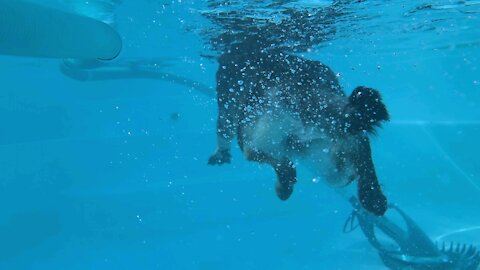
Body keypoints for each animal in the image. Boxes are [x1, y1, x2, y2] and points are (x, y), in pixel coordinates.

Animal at [208, 46, 388, 215]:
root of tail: (300, 85)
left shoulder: (232, 118)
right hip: (327, 156)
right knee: (357, 149)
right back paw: (374, 198)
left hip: (259, 135)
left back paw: (283, 186)